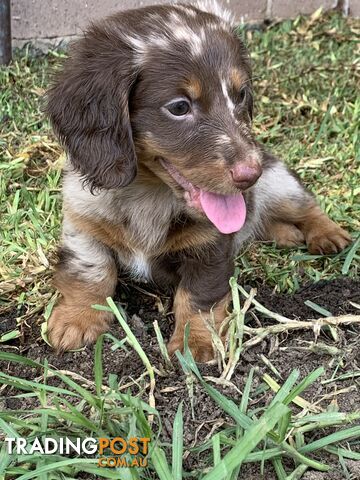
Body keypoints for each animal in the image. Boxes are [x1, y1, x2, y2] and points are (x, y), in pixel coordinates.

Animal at [45, 0, 352, 360]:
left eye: (241, 94)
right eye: (179, 107)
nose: (251, 174)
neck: (150, 193)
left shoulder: (210, 247)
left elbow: (197, 296)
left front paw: (195, 343)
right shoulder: (82, 222)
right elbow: (90, 272)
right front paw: (77, 319)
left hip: (280, 185)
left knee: (306, 207)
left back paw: (327, 234)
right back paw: (285, 234)